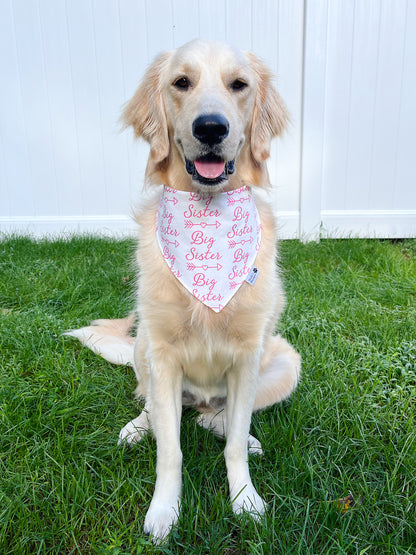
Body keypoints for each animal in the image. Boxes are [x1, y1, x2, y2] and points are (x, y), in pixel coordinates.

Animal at [66, 39, 300, 544]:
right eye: (181, 83)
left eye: (239, 85)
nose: (210, 127)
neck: (207, 221)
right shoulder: (164, 354)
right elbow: (169, 451)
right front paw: (163, 512)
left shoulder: (249, 355)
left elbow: (234, 445)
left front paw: (244, 500)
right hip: (143, 349)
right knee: (152, 407)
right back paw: (138, 427)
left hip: (285, 361)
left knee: (222, 420)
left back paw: (235, 429)